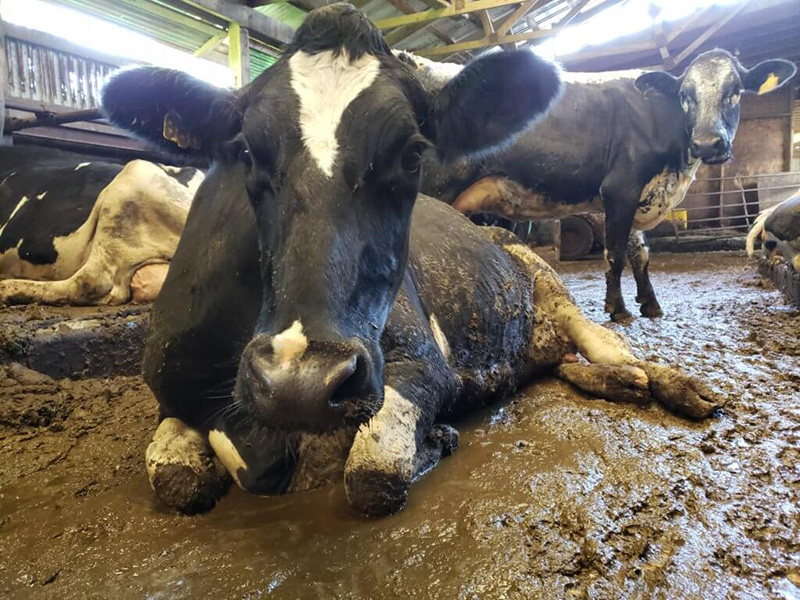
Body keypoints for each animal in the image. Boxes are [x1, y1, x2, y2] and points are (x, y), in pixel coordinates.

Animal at [101, 3, 724, 517]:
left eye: (412, 154)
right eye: (247, 152)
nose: (301, 381)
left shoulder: (422, 362)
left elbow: (372, 474)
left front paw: (435, 441)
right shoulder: (170, 383)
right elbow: (183, 476)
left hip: (548, 282)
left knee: (610, 342)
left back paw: (678, 385)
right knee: (568, 363)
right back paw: (617, 384)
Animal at [400, 50, 797, 322]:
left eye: (735, 91)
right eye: (686, 95)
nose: (707, 143)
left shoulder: (638, 195)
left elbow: (641, 254)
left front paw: (650, 304)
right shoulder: (620, 188)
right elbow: (615, 252)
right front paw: (617, 309)